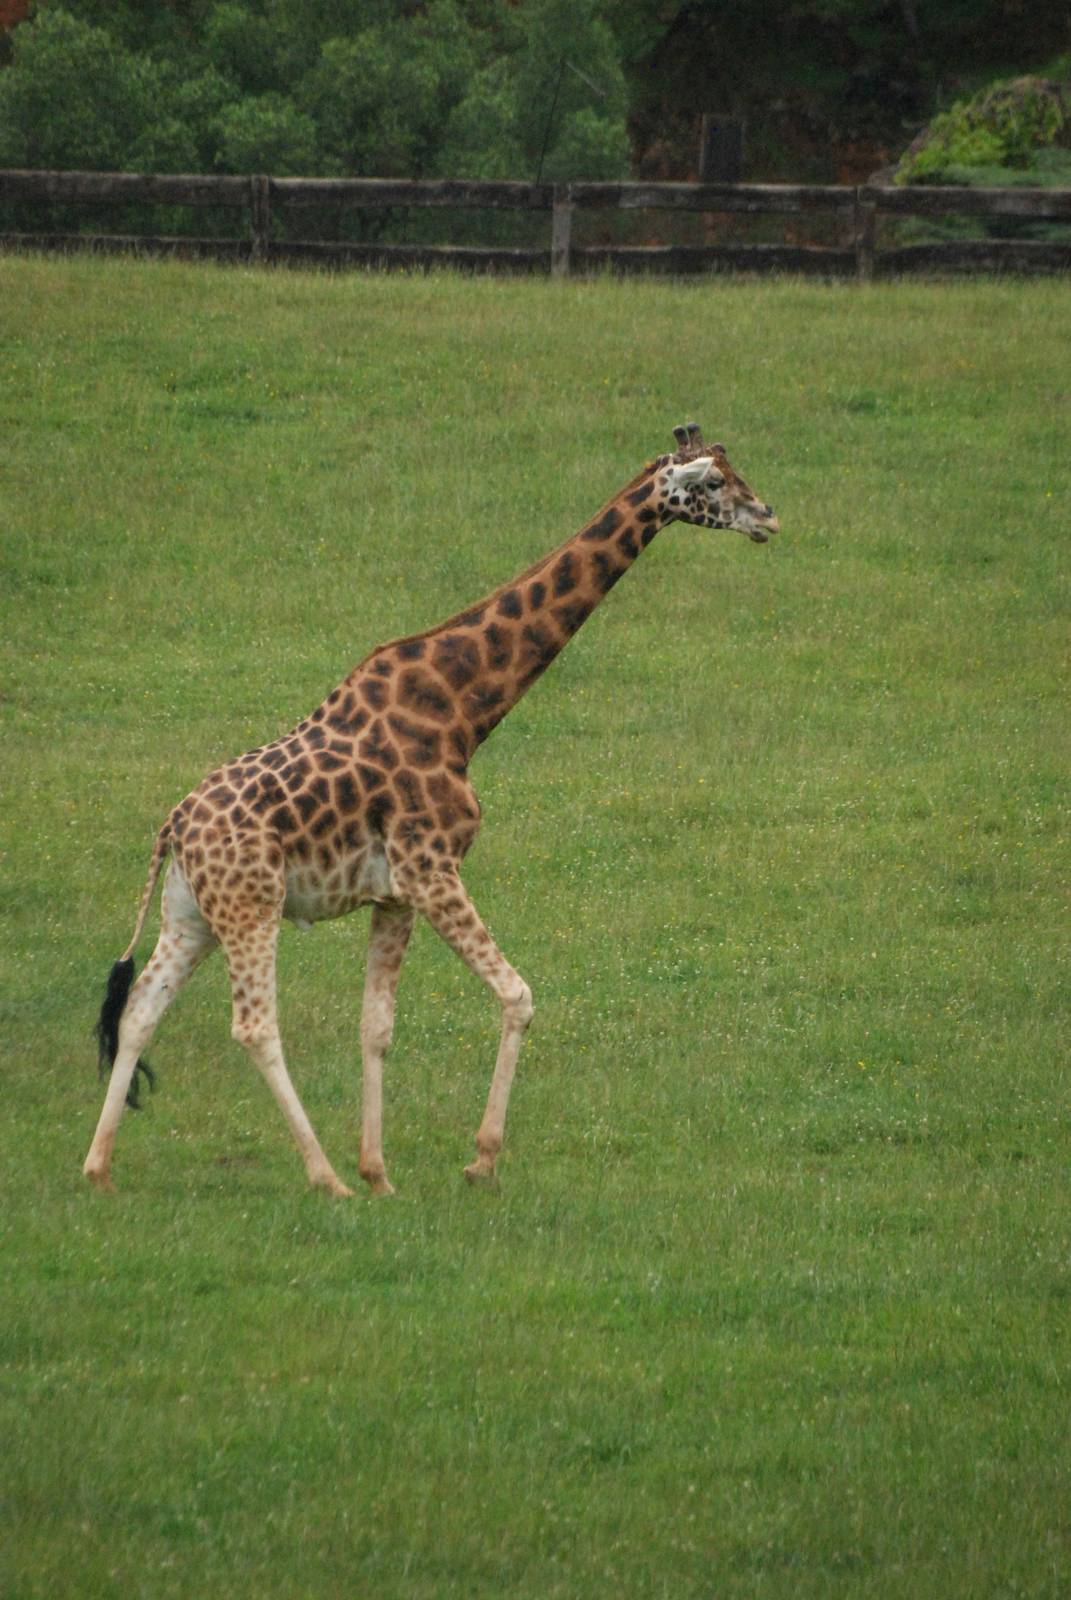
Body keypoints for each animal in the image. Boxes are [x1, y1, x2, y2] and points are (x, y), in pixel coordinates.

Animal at [85, 423, 779, 1197]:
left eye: (733, 471)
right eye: (712, 483)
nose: (768, 517)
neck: (459, 708)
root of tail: (172, 828)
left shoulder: (395, 894)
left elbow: (376, 1027)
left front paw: (381, 1174)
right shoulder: (431, 869)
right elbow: (518, 996)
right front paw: (480, 1159)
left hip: (191, 916)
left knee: (141, 1011)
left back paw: (99, 1168)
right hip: (250, 906)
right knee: (254, 1026)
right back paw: (323, 1178)